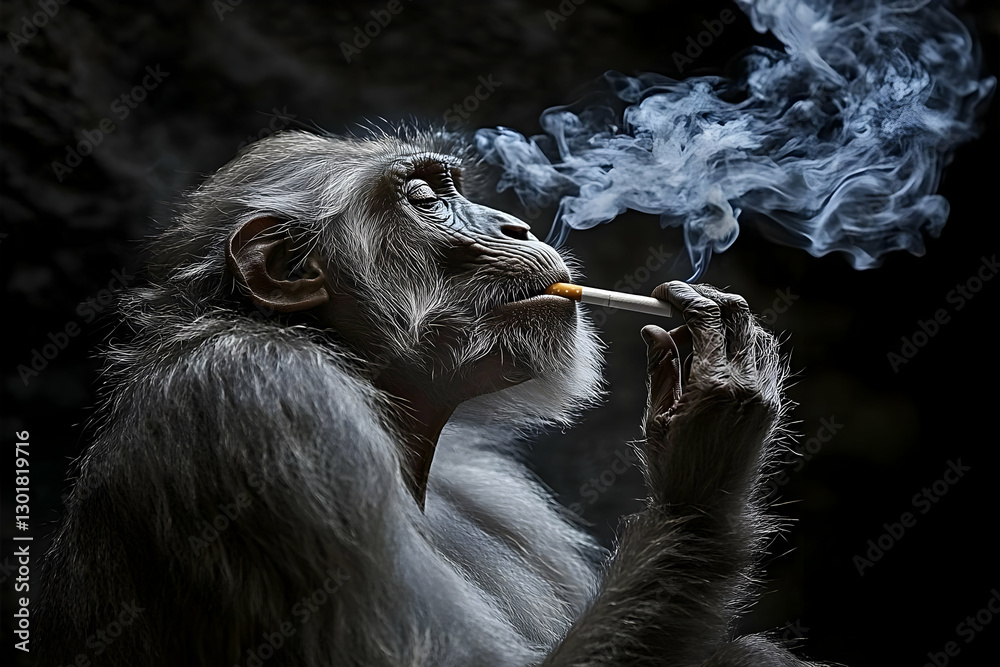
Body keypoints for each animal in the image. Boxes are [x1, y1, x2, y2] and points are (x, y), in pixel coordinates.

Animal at [35, 128, 820, 666]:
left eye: (455, 189)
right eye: (424, 199)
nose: (516, 226)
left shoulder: (487, 480)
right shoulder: (265, 397)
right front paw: (707, 449)